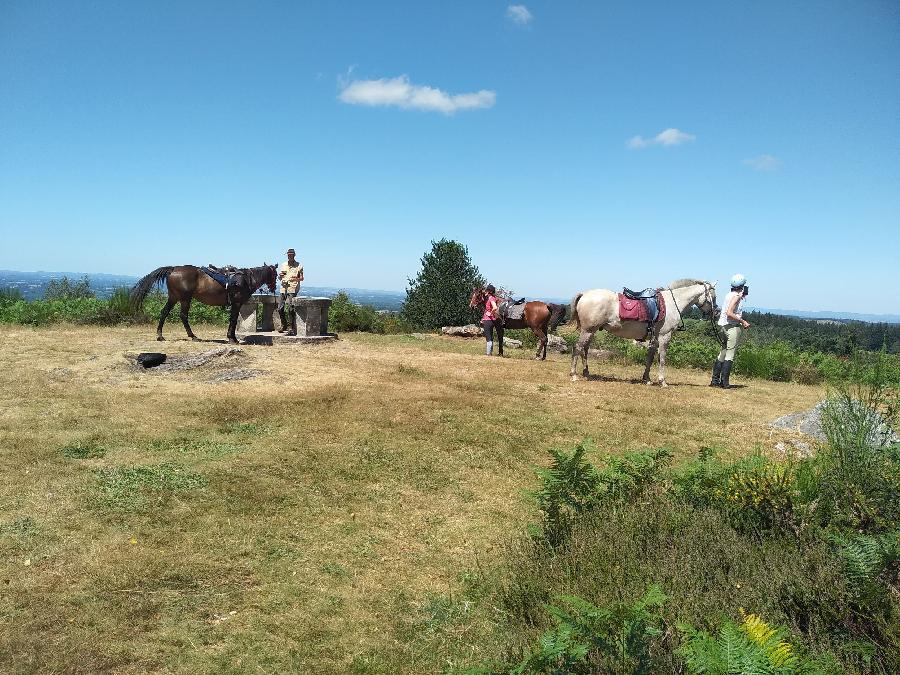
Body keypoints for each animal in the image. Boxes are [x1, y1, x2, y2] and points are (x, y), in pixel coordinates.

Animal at [127, 264, 274, 344]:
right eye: (275, 275)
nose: (273, 287)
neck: (245, 279)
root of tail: (173, 269)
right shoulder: (237, 303)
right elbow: (233, 320)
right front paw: (232, 339)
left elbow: (232, 320)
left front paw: (231, 337)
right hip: (185, 299)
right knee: (183, 316)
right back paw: (193, 336)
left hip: (174, 298)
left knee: (164, 312)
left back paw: (160, 336)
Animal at [568, 278, 716, 386]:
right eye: (713, 296)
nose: (717, 312)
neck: (671, 304)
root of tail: (584, 294)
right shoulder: (664, 337)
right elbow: (662, 359)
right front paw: (662, 381)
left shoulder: (654, 339)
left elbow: (649, 359)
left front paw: (647, 379)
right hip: (588, 330)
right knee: (578, 347)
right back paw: (574, 375)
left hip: (591, 331)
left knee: (585, 349)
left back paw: (586, 373)